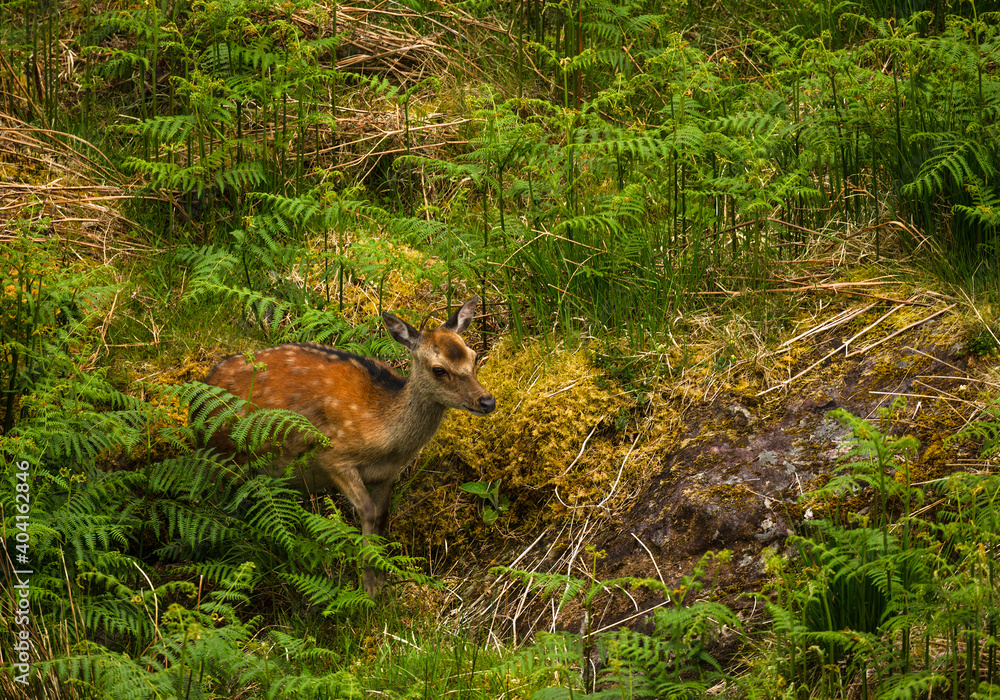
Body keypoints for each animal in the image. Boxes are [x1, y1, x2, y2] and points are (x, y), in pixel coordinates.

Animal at [203, 296, 496, 595]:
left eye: (474, 356)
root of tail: (206, 380)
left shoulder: (386, 475)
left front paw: (382, 582)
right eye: (439, 370)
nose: (487, 401)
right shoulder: (333, 455)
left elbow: (382, 516)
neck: (385, 439)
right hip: (222, 459)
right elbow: (366, 510)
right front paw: (369, 590)